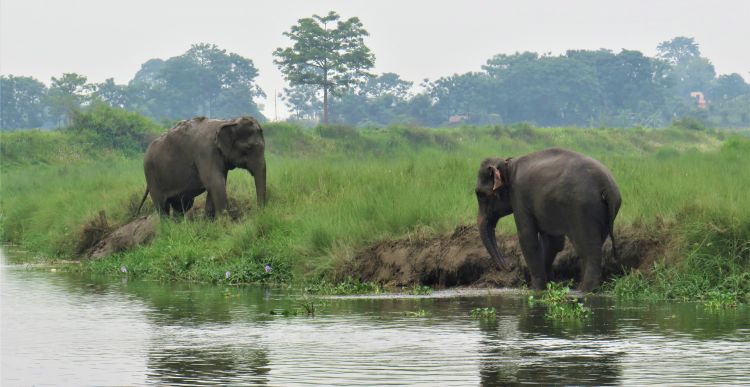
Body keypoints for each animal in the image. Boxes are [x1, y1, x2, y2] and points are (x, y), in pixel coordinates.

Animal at [138, 115, 268, 218]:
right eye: (248, 148)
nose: (258, 213)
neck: (228, 121)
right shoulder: (206, 152)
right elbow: (215, 183)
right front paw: (224, 224)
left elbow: (217, 184)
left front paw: (209, 223)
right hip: (151, 175)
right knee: (162, 207)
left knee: (181, 206)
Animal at [476, 148, 624, 292]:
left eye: (480, 194)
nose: (509, 266)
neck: (508, 164)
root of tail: (606, 186)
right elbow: (553, 243)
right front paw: (549, 285)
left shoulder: (518, 195)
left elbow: (527, 238)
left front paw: (535, 289)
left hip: (583, 209)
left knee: (588, 249)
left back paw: (585, 290)